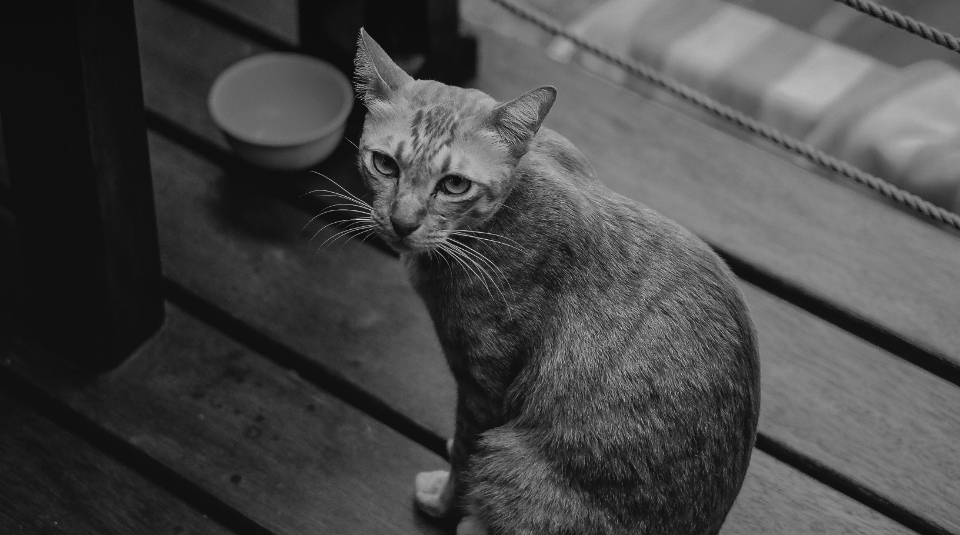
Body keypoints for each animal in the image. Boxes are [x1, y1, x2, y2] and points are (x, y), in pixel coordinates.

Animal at [348, 28, 760, 535]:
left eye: (454, 185)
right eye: (384, 164)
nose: (402, 223)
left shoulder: (483, 388)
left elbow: (464, 459)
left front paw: (444, 500)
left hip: (508, 456)